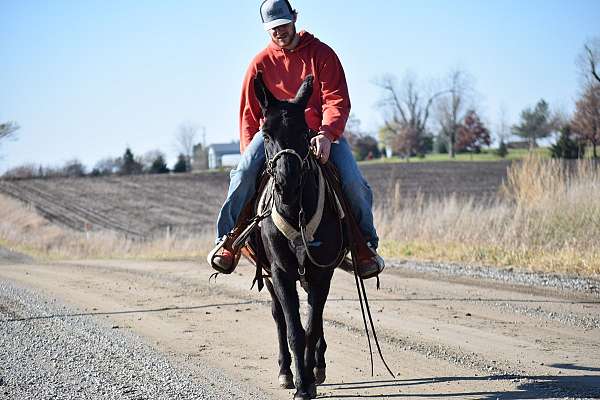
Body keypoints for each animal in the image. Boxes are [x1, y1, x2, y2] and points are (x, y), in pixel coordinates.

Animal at [252, 72, 346, 400]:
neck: (296, 212)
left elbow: (312, 326)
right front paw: (300, 384)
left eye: (306, 132)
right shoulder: (280, 272)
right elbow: (294, 329)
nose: (287, 182)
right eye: (265, 134)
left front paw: (310, 378)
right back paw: (285, 371)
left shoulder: (321, 272)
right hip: (269, 276)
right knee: (279, 316)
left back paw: (317, 365)